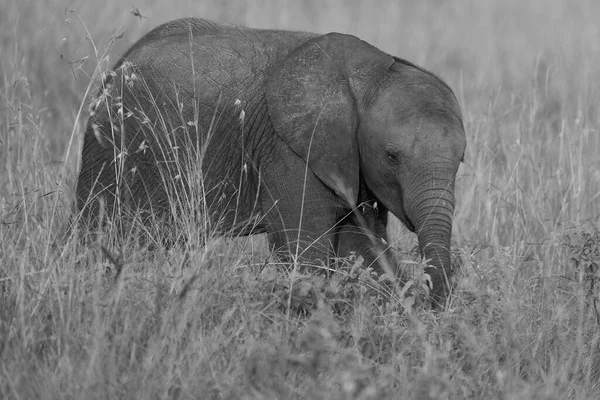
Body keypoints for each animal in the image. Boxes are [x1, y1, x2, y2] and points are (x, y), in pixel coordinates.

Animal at [75, 17, 466, 306]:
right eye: (391, 156)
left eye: (461, 161)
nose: (435, 301)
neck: (371, 73)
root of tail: (115, 68)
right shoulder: (288, 150)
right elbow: (306, 255)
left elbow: (364, 249)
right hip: (114, 148)